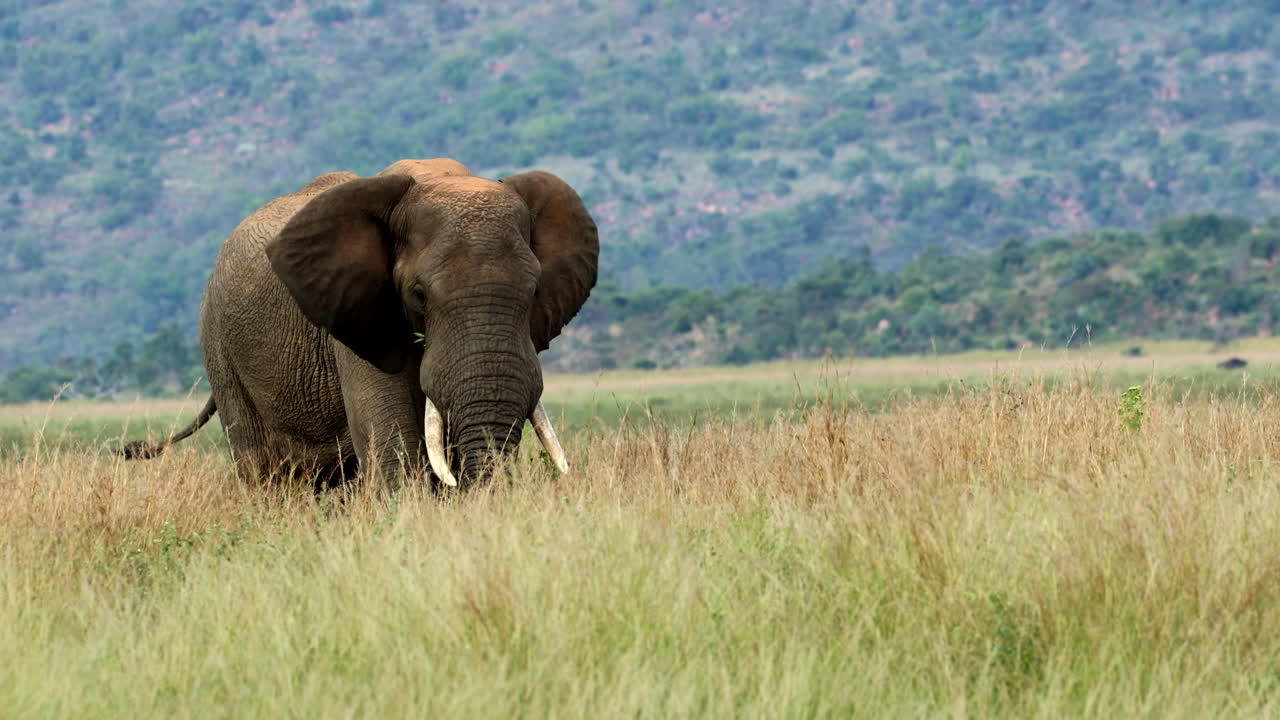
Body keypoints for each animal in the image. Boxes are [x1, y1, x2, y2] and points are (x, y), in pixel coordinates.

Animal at [122, 158, 598, 489]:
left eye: (534, 291)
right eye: (419, 295)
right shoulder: (357, 317)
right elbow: (395, 450)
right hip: (220, 348)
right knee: (262, 470)